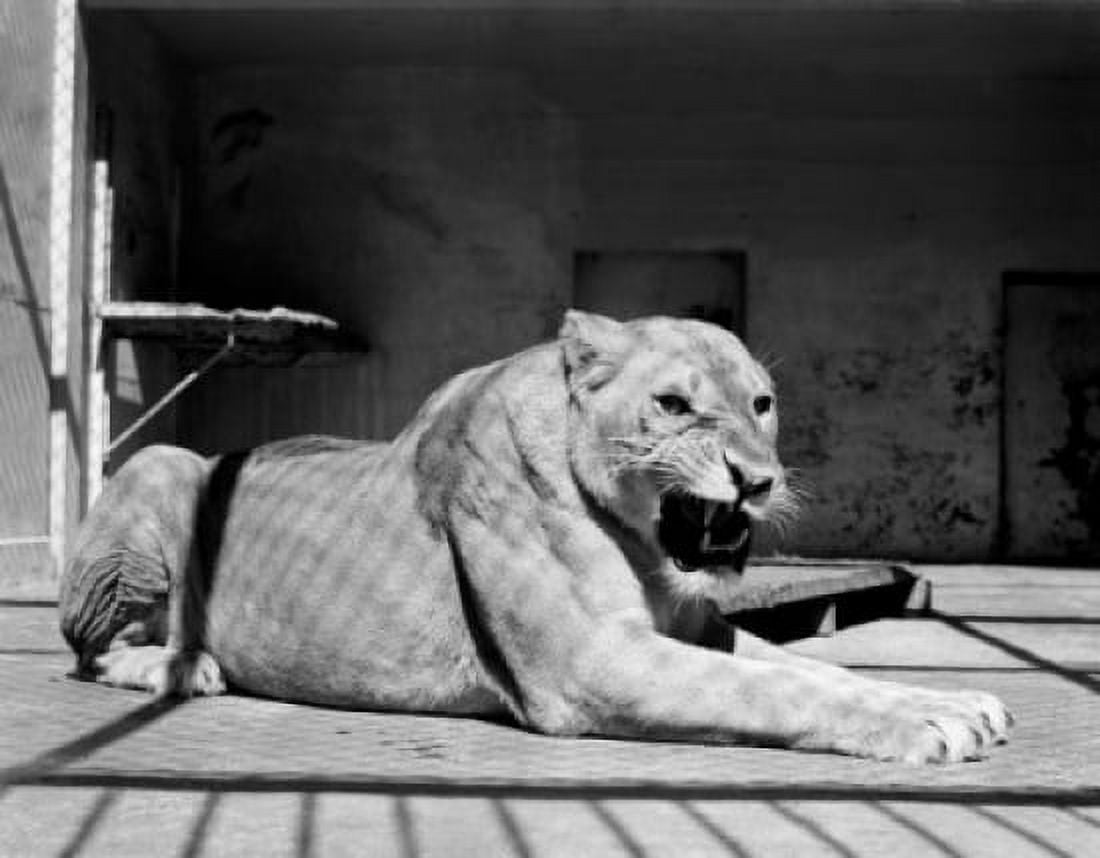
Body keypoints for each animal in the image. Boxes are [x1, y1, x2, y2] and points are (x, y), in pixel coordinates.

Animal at [59, 310, 1011, 763]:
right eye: (674, 404)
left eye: (762, 403)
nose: (756, 479)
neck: (644, 548)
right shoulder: (589, 667)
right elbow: (776, 692)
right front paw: (925, 724)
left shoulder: (697, 627)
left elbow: (819, 670)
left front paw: (953, 701)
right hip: (158, 469)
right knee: (88, 649)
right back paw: (184, 666)